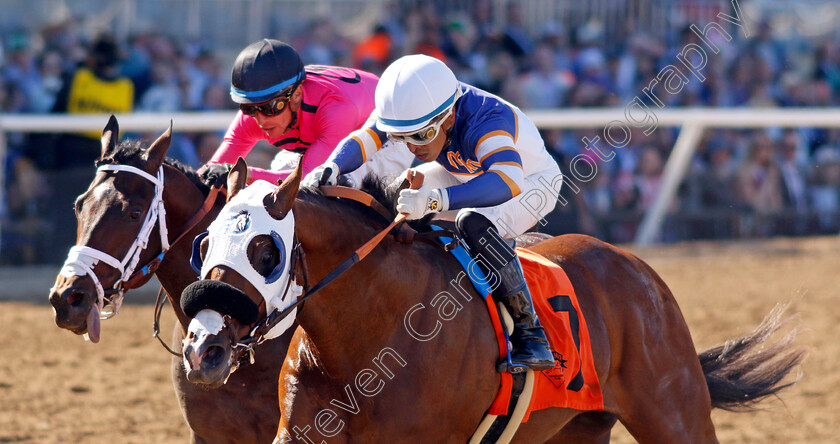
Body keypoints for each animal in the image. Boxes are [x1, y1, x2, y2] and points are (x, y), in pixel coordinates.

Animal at [185, 160, 808, 444]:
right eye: (205, 242)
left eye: (265, 249)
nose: (202, 347)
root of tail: (639, 271)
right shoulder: (304, 432)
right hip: (573, 430)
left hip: (675, 415)